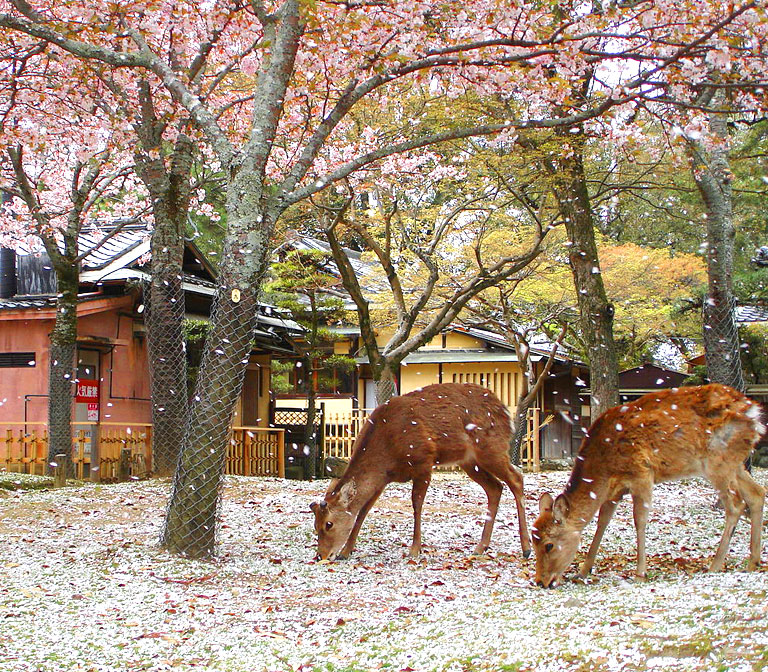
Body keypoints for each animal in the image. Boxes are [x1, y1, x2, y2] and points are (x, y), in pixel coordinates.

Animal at [308, 384, 532, 560]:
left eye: (328, 524)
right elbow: (363, 510)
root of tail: (505, 411)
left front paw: (415, 549)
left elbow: (416, 504)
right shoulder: (383, 479)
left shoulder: (423, 461)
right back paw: (480, 547)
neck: (387, 451)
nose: (322, 555)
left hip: (491, 448)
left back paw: (526, 548)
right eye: (315, 525)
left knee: (516, 478)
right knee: (495, 487)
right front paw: (346, 551)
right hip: (470, 462)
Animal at [532, 384, 764, 588]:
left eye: (548, 545)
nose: (541, 582)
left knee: (735, 504)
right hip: (735, 463)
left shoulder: (641, 473)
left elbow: (640, 520)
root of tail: (755, 413)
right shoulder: (614, 490)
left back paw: (715, 566)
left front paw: (640, 573)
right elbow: (602, 523)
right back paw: (753, 562)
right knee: (757, 493)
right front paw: (582, 571)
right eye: (534, 542)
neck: (603, 469)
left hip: (718, 461)